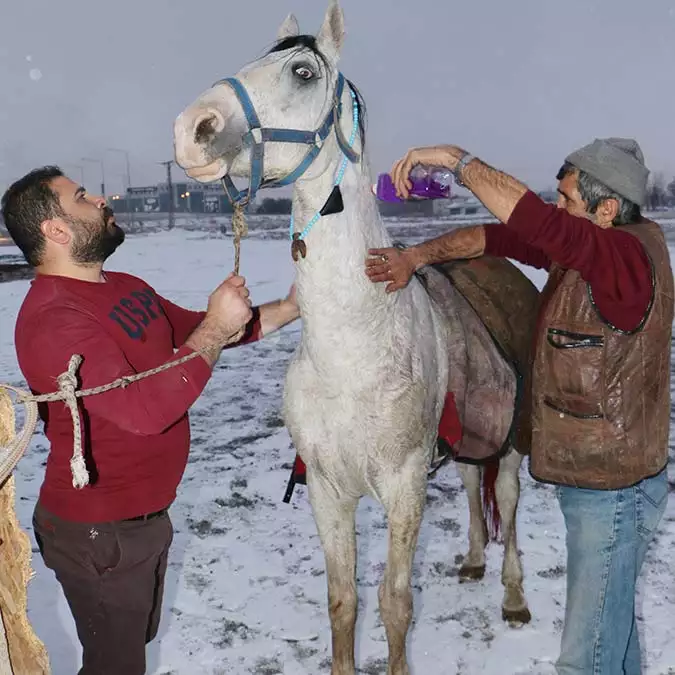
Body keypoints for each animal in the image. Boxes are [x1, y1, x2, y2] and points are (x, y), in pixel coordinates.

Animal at [173, 2, 528, 672]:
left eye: (303, 71)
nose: (191, 128)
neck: (354, 349)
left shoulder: (404, 490)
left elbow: (395, 605)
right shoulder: (328, 492)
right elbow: (343, 602)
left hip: (513, 445)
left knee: (509, 498)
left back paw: (515, 596)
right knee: (474, 482)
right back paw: (473, 561)